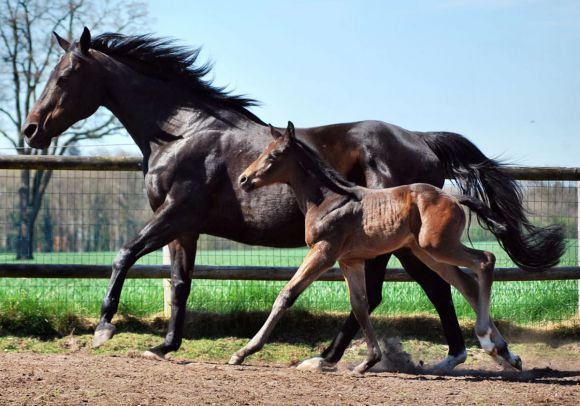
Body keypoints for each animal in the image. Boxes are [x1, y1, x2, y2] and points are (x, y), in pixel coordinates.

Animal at [231, 121, 520, 374]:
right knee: (467, 282)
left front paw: (243, 352)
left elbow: (287, 294)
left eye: (274, 155)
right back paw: (504, 352)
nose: (244, 179)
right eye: (262, 152)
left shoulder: (323, 251)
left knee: (485, 260)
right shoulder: (350, 260)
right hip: (428, 253)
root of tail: (455, 198)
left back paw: (486, 339)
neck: (328, 199)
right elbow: (360, 304)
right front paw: (368, 361)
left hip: (438, 246)